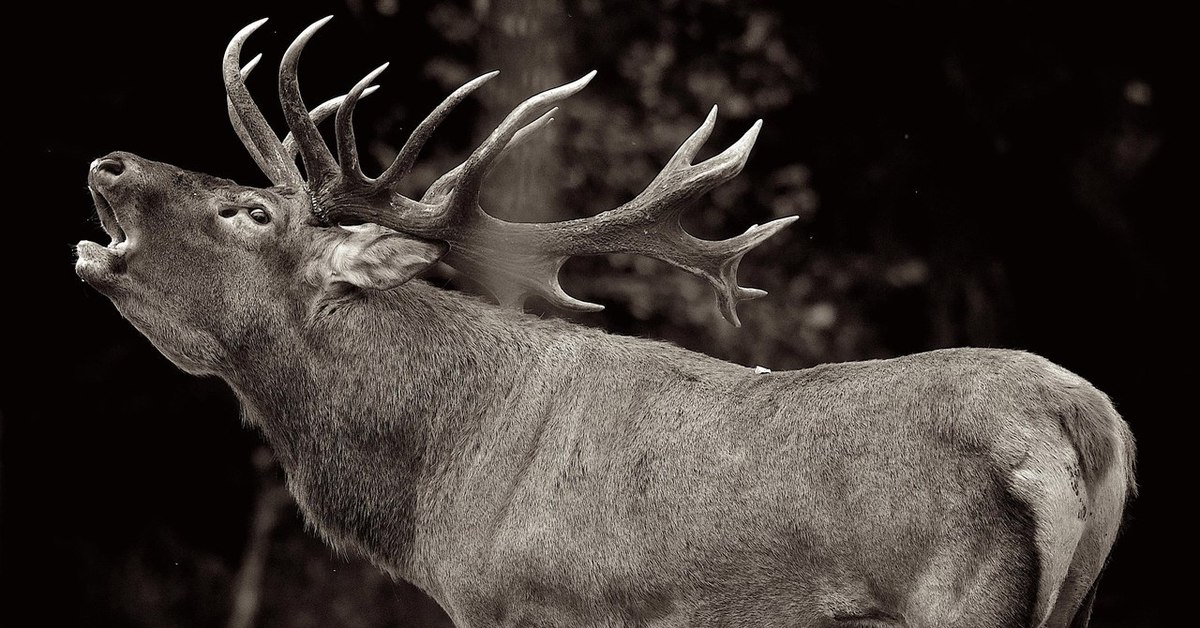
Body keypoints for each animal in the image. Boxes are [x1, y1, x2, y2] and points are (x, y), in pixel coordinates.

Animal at [72, 18, 1132, 628]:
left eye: (249, 212)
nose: (112, 162)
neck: (434, 490)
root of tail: (1089, 424)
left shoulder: (526, 606)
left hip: (958, 594)